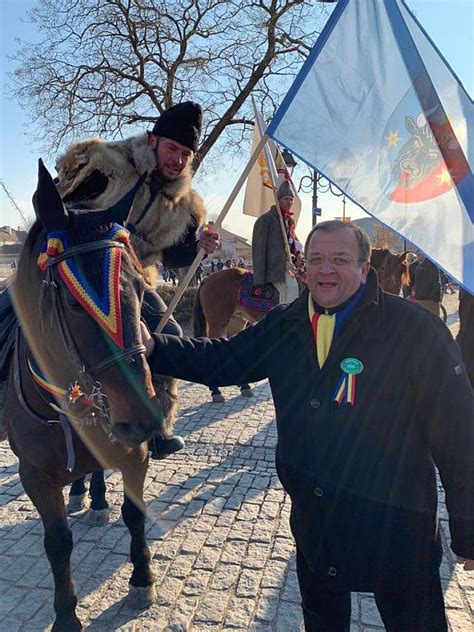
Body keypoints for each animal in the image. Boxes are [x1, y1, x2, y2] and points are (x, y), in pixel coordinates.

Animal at [1, 160, 162, 628]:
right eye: (75, 304)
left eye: (141, 288)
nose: (142, 416)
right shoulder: (34, 475)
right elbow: (57, 543)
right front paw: (66, 615)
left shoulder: (135, 451)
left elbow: (135, 512)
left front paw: (141, 579)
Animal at [194, 247, 406, 400]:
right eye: (389, 273)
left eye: (402, 277)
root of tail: (207, 278)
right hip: (218, 321)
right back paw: (216, 391)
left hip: (237, 320)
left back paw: (244, 386)